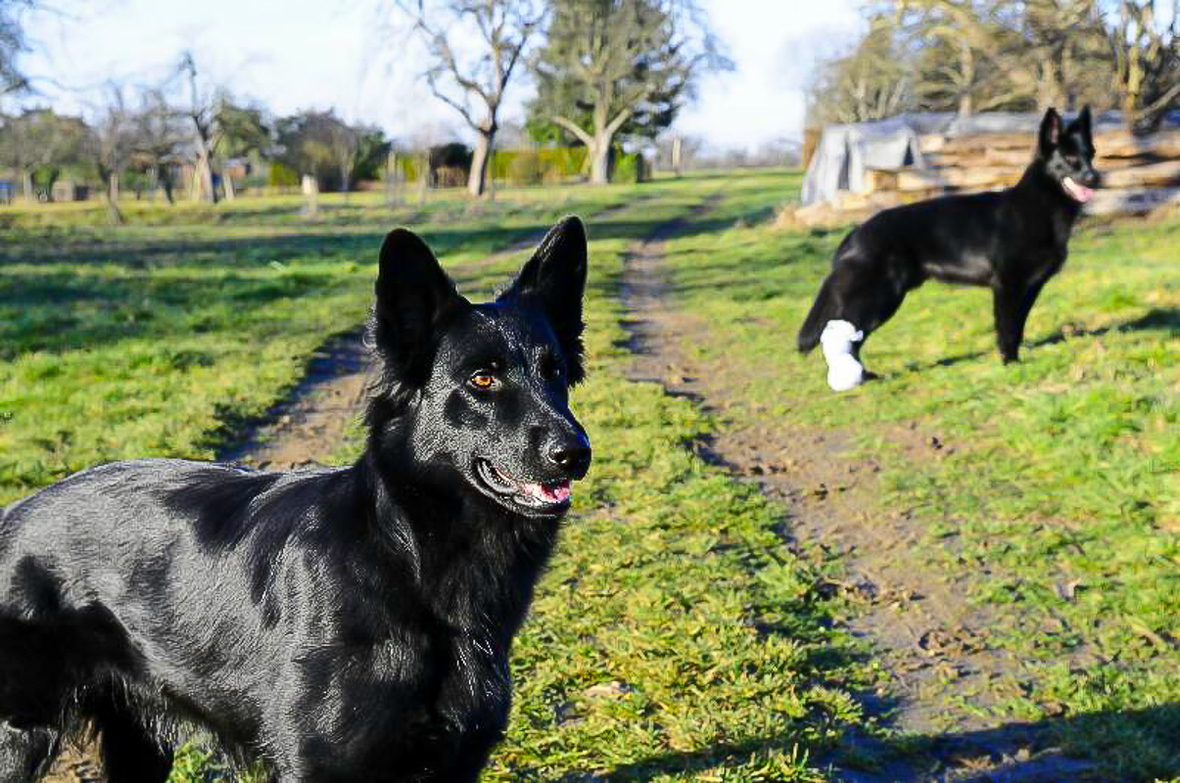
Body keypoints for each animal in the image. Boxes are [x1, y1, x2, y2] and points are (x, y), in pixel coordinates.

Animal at [0, 215, 590, 783]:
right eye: (483, 379)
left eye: (555, 372)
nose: (576, 453)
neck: (404, 551)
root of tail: (13, 514)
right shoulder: (317, 764)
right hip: (20, 737)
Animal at [797, 107, 1099, 389]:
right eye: (1070, 159)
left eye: (1091, 154)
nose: (1094, 177)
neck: (1039, 206)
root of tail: (855, 234)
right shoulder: (1007, 286)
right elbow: (1008, 329)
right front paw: (1010, 364)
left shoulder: (1030, 288)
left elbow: (1019, 327)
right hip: (879, 298)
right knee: (846, 334)